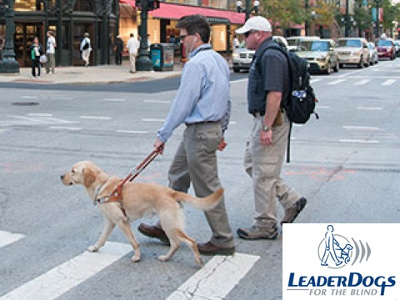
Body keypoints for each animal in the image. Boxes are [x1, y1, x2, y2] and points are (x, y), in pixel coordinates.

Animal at [61, 161, 223, 266]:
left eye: (73, 171)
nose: (61, 176)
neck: (102, 185)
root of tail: (171, 192)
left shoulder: (122, 221)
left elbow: (134, 242)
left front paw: (137, 257)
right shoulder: (110, 222)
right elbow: (101, 238)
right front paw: (95, 248)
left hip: (170, 224)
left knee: (190, 241)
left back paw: (197, 259)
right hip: (168, 225)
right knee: (176, 244)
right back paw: (165, 258)